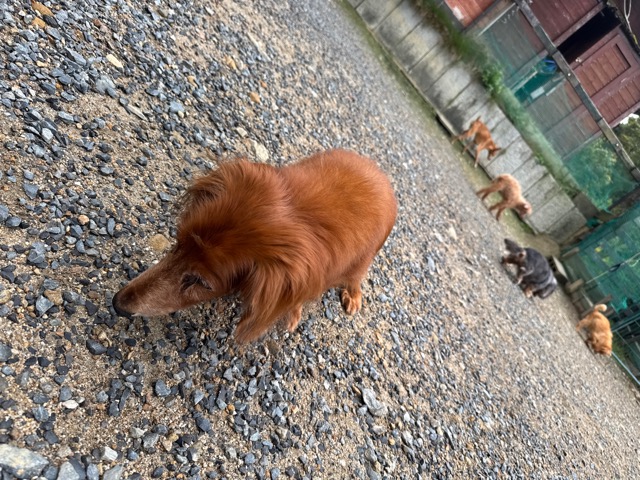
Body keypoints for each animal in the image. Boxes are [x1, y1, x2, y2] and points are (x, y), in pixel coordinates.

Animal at [112, 149, 398, 344]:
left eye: (201, 282)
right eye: (178, 242)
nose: (117, 305)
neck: (302, 216)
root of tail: (382, 175)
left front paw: (293, 314)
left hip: (362, 262)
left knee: (355, 277)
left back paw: (353, 294)